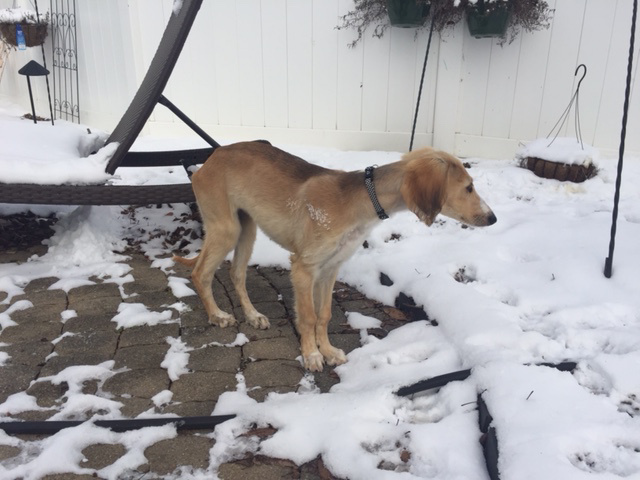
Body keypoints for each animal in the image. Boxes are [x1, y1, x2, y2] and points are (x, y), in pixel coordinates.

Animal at [172, 142, 498, 372]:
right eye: (468, 187)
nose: (493, 219)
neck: (360, 200)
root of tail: (208, 161)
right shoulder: (304, 267)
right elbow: (307, 316)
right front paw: (312, 355)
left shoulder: (330, 269)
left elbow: (324, 315)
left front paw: (327, 351)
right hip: (226, 228)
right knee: (200, 273)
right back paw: (217, 315)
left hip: (246, 229)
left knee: (236, 273)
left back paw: (252, 316)